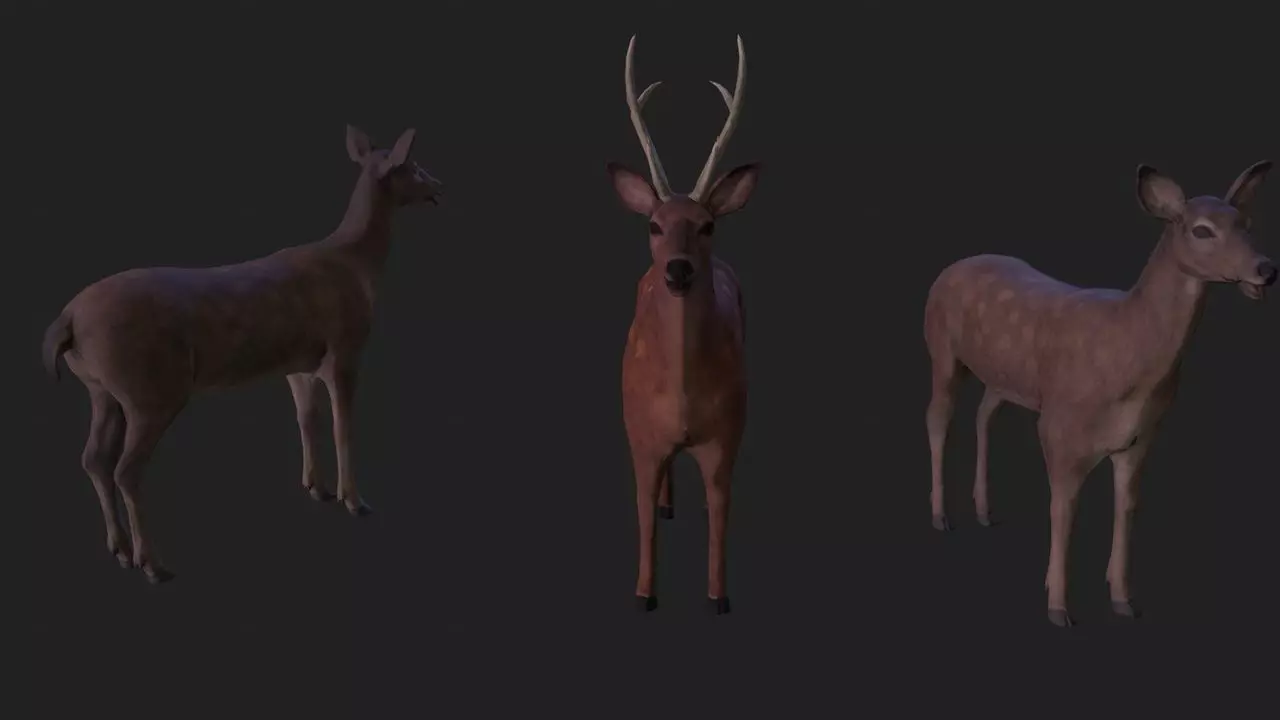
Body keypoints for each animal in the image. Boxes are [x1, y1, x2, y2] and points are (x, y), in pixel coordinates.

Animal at [41, 125, 443, 584]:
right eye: (413, 165)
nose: (440, 187)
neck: (357, 264)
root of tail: (68, 320)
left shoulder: (298, 365)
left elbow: (307, 420)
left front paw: (317, 488)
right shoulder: (345, 349)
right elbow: (344, 427)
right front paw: (355, 501)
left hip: (102, 389)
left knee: (94, 459)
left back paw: (121, 550)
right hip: (150, 389)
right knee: (127, 468)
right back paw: (154, 565)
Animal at [608, 35, 760, 615]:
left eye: (708, 225)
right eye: (654, 225)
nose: (676, 269)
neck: (682, 400)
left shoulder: (729, 433)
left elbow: (720, 515)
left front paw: (719, 597)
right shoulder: (638, 433)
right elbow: (642, 513)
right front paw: (644, 594)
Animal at [924, 160, 1275, 626]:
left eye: (1246, 224)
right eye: (1202, 230)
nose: (1266, 269)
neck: (1129, 364)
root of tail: (948, 269)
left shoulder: (1140, 437)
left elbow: (1127, 506)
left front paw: (1123, 599)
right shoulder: (1059, 425)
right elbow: (1063, 509)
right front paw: (1058, 607)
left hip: (1004, 377)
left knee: (984, 412)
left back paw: (984, 511)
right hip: (940, 349)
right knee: (937, 417)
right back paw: (941, 516)